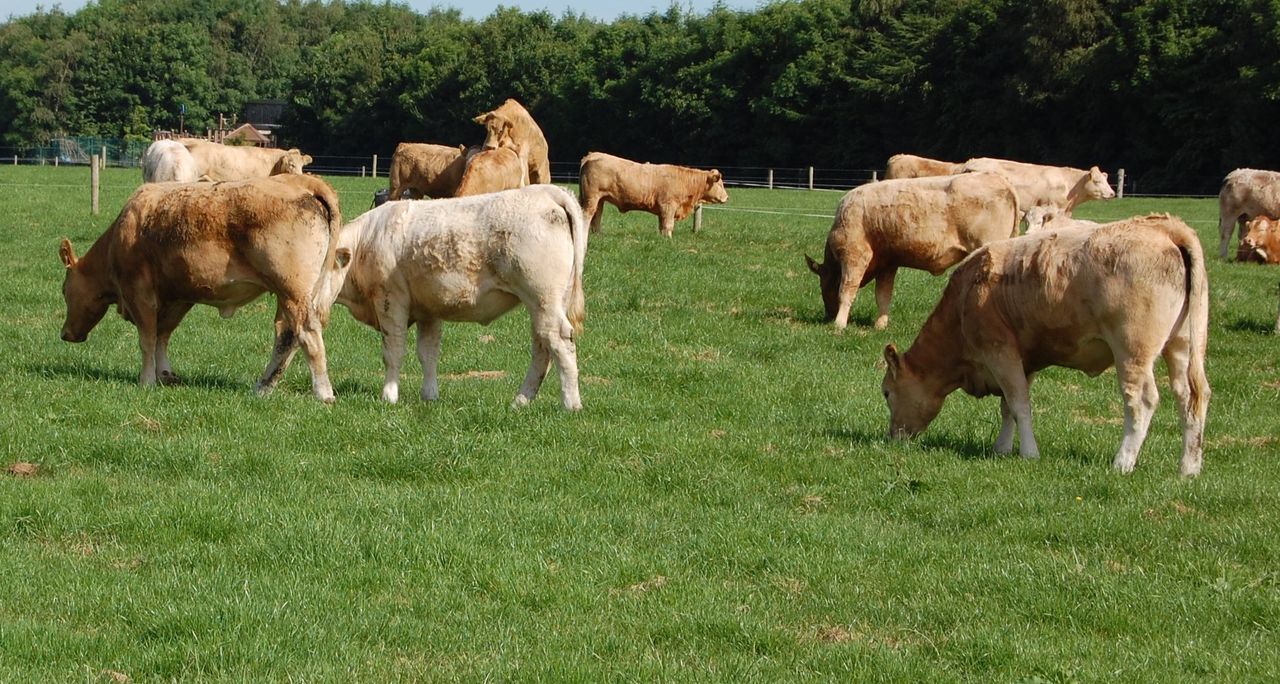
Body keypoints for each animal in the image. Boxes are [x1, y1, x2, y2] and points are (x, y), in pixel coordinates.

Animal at [58, 174, 346, 402]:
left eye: (63, 290)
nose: (65, 334)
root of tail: (303, 181)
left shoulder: (139, 292)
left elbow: (147, 339)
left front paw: (146, 381)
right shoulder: (179, 296)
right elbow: (162, 335)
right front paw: (165, 375)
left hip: (293, 291)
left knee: (306, 332)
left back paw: (323, 393)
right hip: (295, 294)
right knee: (287, 335)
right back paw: (263, 387)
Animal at [331, 184, 587, 409]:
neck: (365, 241)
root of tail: (549, 191)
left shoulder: (390, 300)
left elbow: (393, 350)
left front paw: (389, 396)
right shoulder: (428, 309)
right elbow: (428, 352)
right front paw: (430, 395)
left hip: (543, 299)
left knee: (559, 341)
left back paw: (571, 404)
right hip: (545, 305)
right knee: (542, 347)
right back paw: (520, 401)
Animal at [578, 152, 729, 237]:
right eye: (720, 184)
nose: (727, 197)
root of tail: (592, 155)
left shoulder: (663, 209)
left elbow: (662, 225)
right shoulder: (668, 206)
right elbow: (668, 224)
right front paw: (669, 239)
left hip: (600, 200)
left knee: (597, 217)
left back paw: (598, 235)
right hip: (592, 198)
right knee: (587, 215)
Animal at [804, 172, 1020, 330]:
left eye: (823, 285)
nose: (827, 315)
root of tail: (999, 179)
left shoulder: (855, 255)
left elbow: (847, 289)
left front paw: (839, 324)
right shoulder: (888, 264)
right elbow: (883, 295)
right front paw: (880, 325)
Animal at [881, 214, 1210, 476]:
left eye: (886, 392)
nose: (893, 437)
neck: (966, 297)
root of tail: (1165, 228)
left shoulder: (999, 351)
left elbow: (1019, 405)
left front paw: (1029, 453)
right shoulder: (1023, 361)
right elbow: (1007, 408)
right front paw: (1002, 448)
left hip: (1131, 352)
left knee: (1141, 401)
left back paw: (1123, 461)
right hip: (1181, 346)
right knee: (1190, 397)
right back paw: (1189, 467)